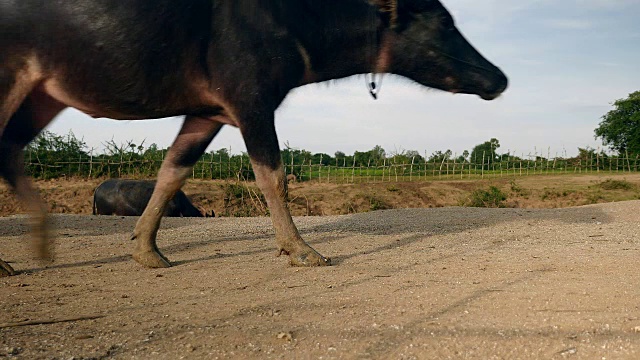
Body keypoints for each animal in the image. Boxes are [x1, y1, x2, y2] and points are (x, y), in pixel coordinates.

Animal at [1, 0, 510, 276]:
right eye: (444, 22)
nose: (499, 77)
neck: (294, 22)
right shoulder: (251, 100)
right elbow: (273, 175)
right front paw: (303, 251)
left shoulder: (206, 111)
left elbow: (172, 170)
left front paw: (148, 251)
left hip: (42, 97)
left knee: (8, 150)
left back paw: (40, 241)